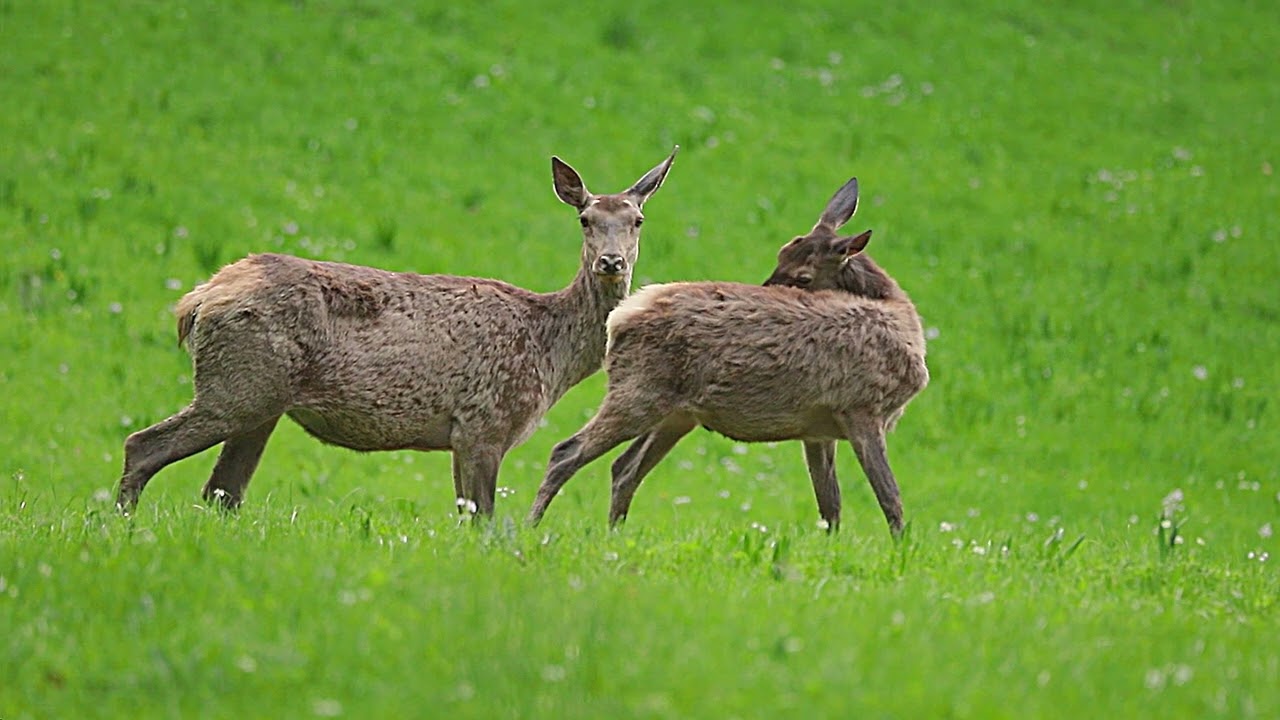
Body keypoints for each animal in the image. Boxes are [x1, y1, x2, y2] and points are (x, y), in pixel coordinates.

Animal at [115, 147, 678, 515]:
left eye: (638, 220)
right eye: (585, 218)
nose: (611, 262)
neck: (550, 351)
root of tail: (196, 300)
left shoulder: (464, 433)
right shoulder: (483, 422)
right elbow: (482, 520)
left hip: (261, 403)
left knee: (221, 492)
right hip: (240, 385)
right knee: (144, 445)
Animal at [526, 177, 927, 536]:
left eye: (802, 276)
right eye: (781, 255)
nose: (763, 290)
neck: (901, 319)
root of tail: (621, 317)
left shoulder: (818, 428)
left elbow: (830, 507)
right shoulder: (861, 405)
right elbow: (890, 498)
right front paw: (900, 551)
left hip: (676, 414)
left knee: (623, 468)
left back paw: (613, 535)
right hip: (637, 392)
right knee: (566, 451)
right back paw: (531, 528)